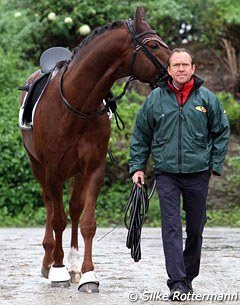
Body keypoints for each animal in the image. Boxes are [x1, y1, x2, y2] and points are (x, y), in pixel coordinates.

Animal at [19, 7, 171, 290]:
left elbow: (87, 222)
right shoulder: (53, 170)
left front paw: (88, 274)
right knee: (50, 206)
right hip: (39, 167)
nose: (182, 70)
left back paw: (74, 267)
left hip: (76, 172)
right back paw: (49, 262)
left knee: (74, 208)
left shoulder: (94, 169)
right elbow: (58, 219)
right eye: (154, 45)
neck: (77, 103)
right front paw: (57, 270)